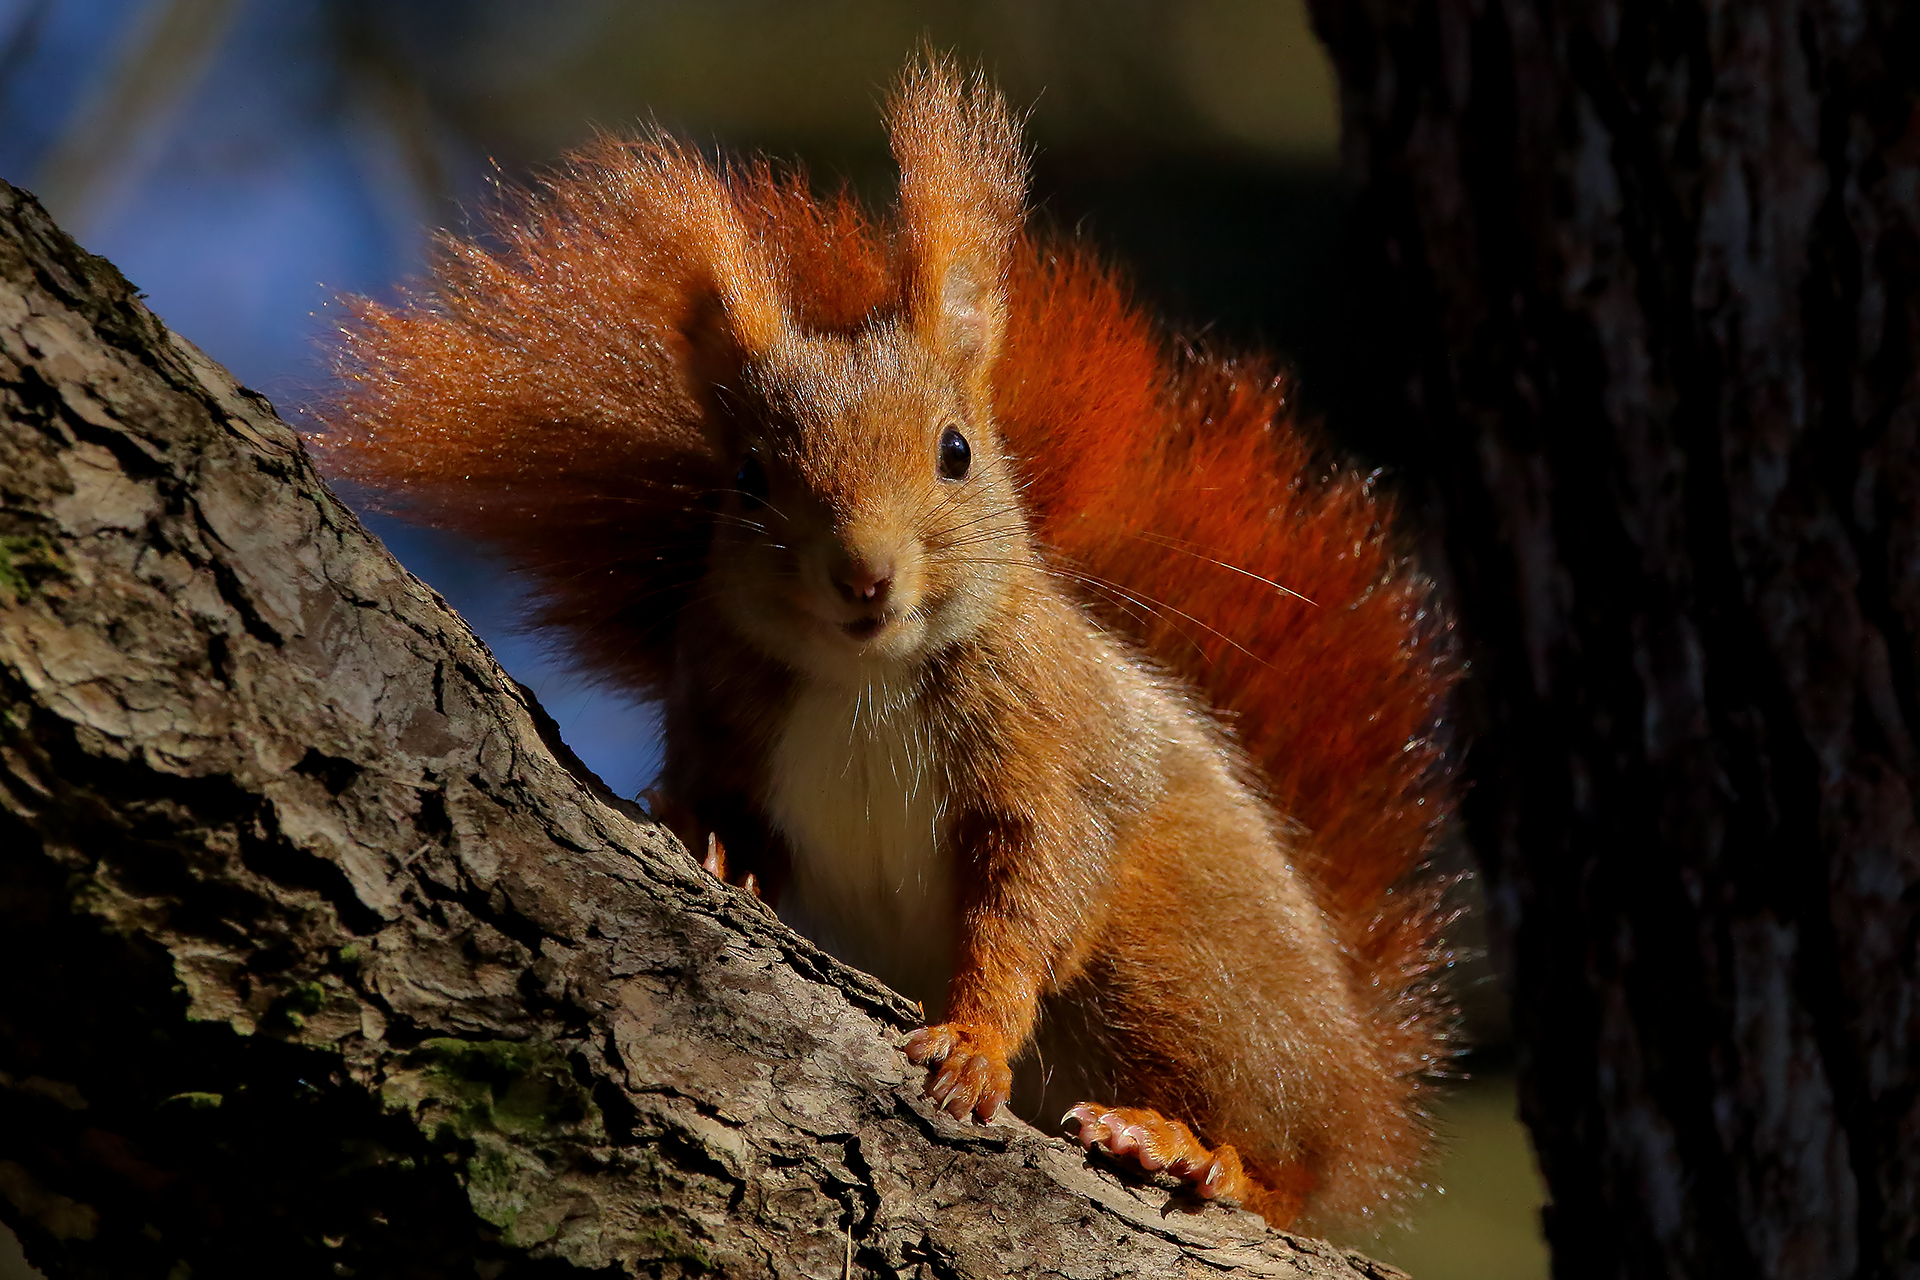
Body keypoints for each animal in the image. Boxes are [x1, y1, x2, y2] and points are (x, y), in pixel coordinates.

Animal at [316, 55, 1459, 1230]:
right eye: (749, 479)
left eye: (957, 450)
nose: (864, 573)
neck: (863, 678)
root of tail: (1361, 1090)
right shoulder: (716, 703)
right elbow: (715, 798)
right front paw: (704, 841)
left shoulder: (1046, 752)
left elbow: (1030, 899)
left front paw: (976, 1041)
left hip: (1183, 974)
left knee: (1281, 1171)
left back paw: (1187, 1148)